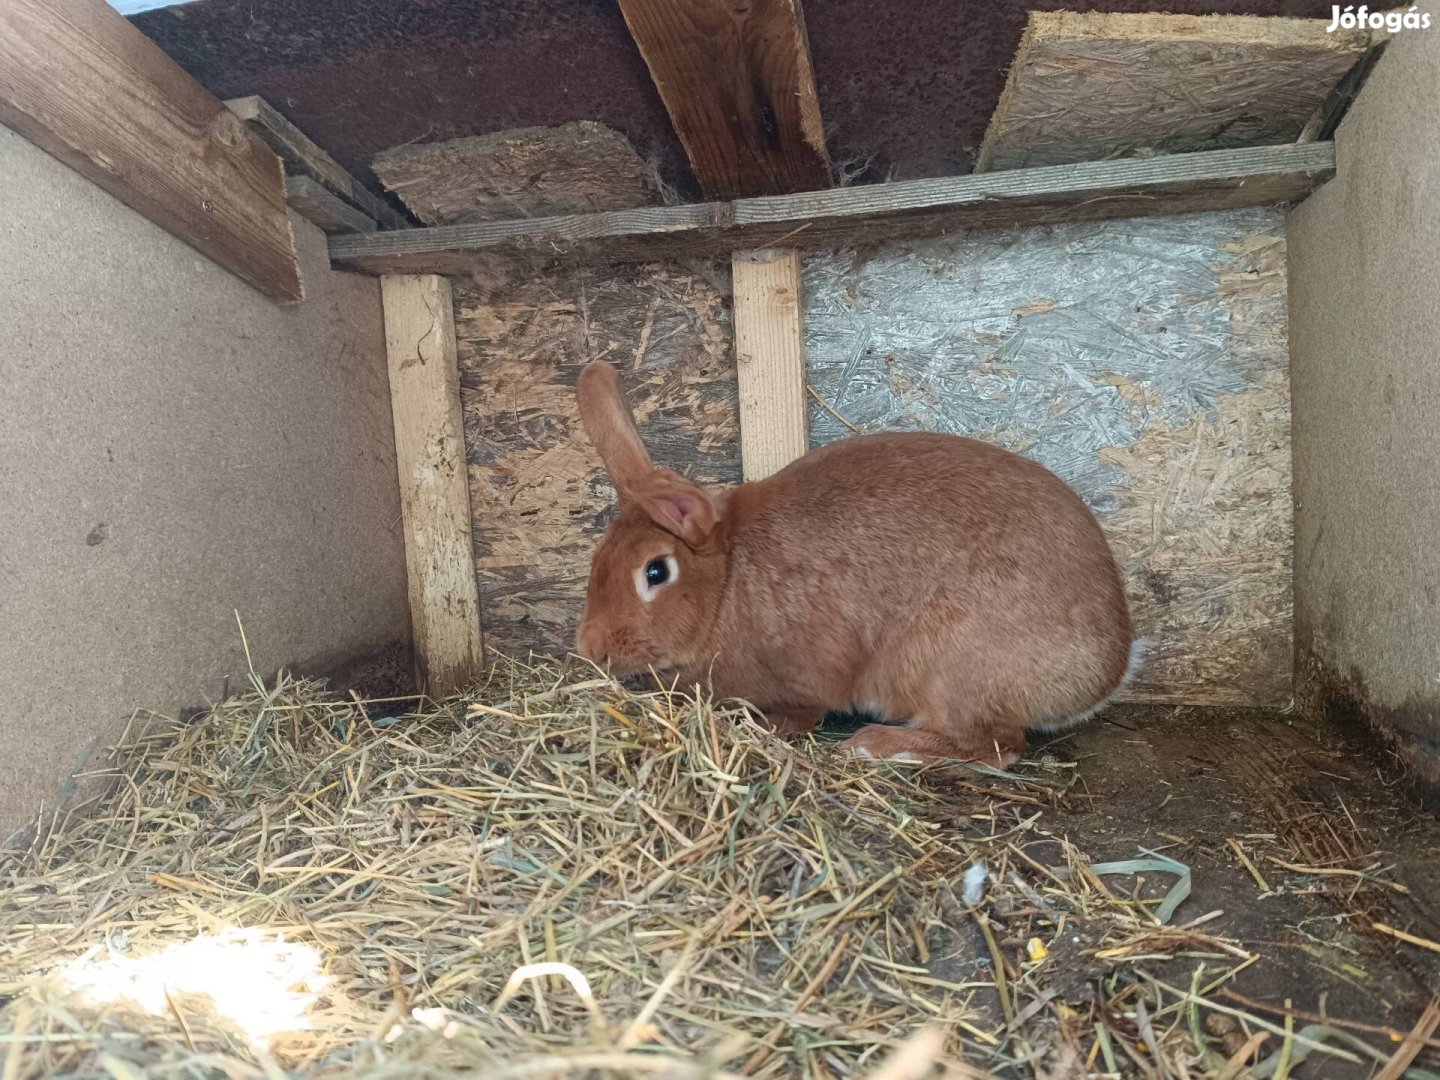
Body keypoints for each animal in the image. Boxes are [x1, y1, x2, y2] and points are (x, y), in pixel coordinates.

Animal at [567, 364, 1140, 771]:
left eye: (655, 573)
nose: (591, 648)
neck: (727, 583)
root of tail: (1104, 675)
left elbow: (798, 712)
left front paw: (767, 727)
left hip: (949, 670)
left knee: (995, 746)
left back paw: (876, 745)